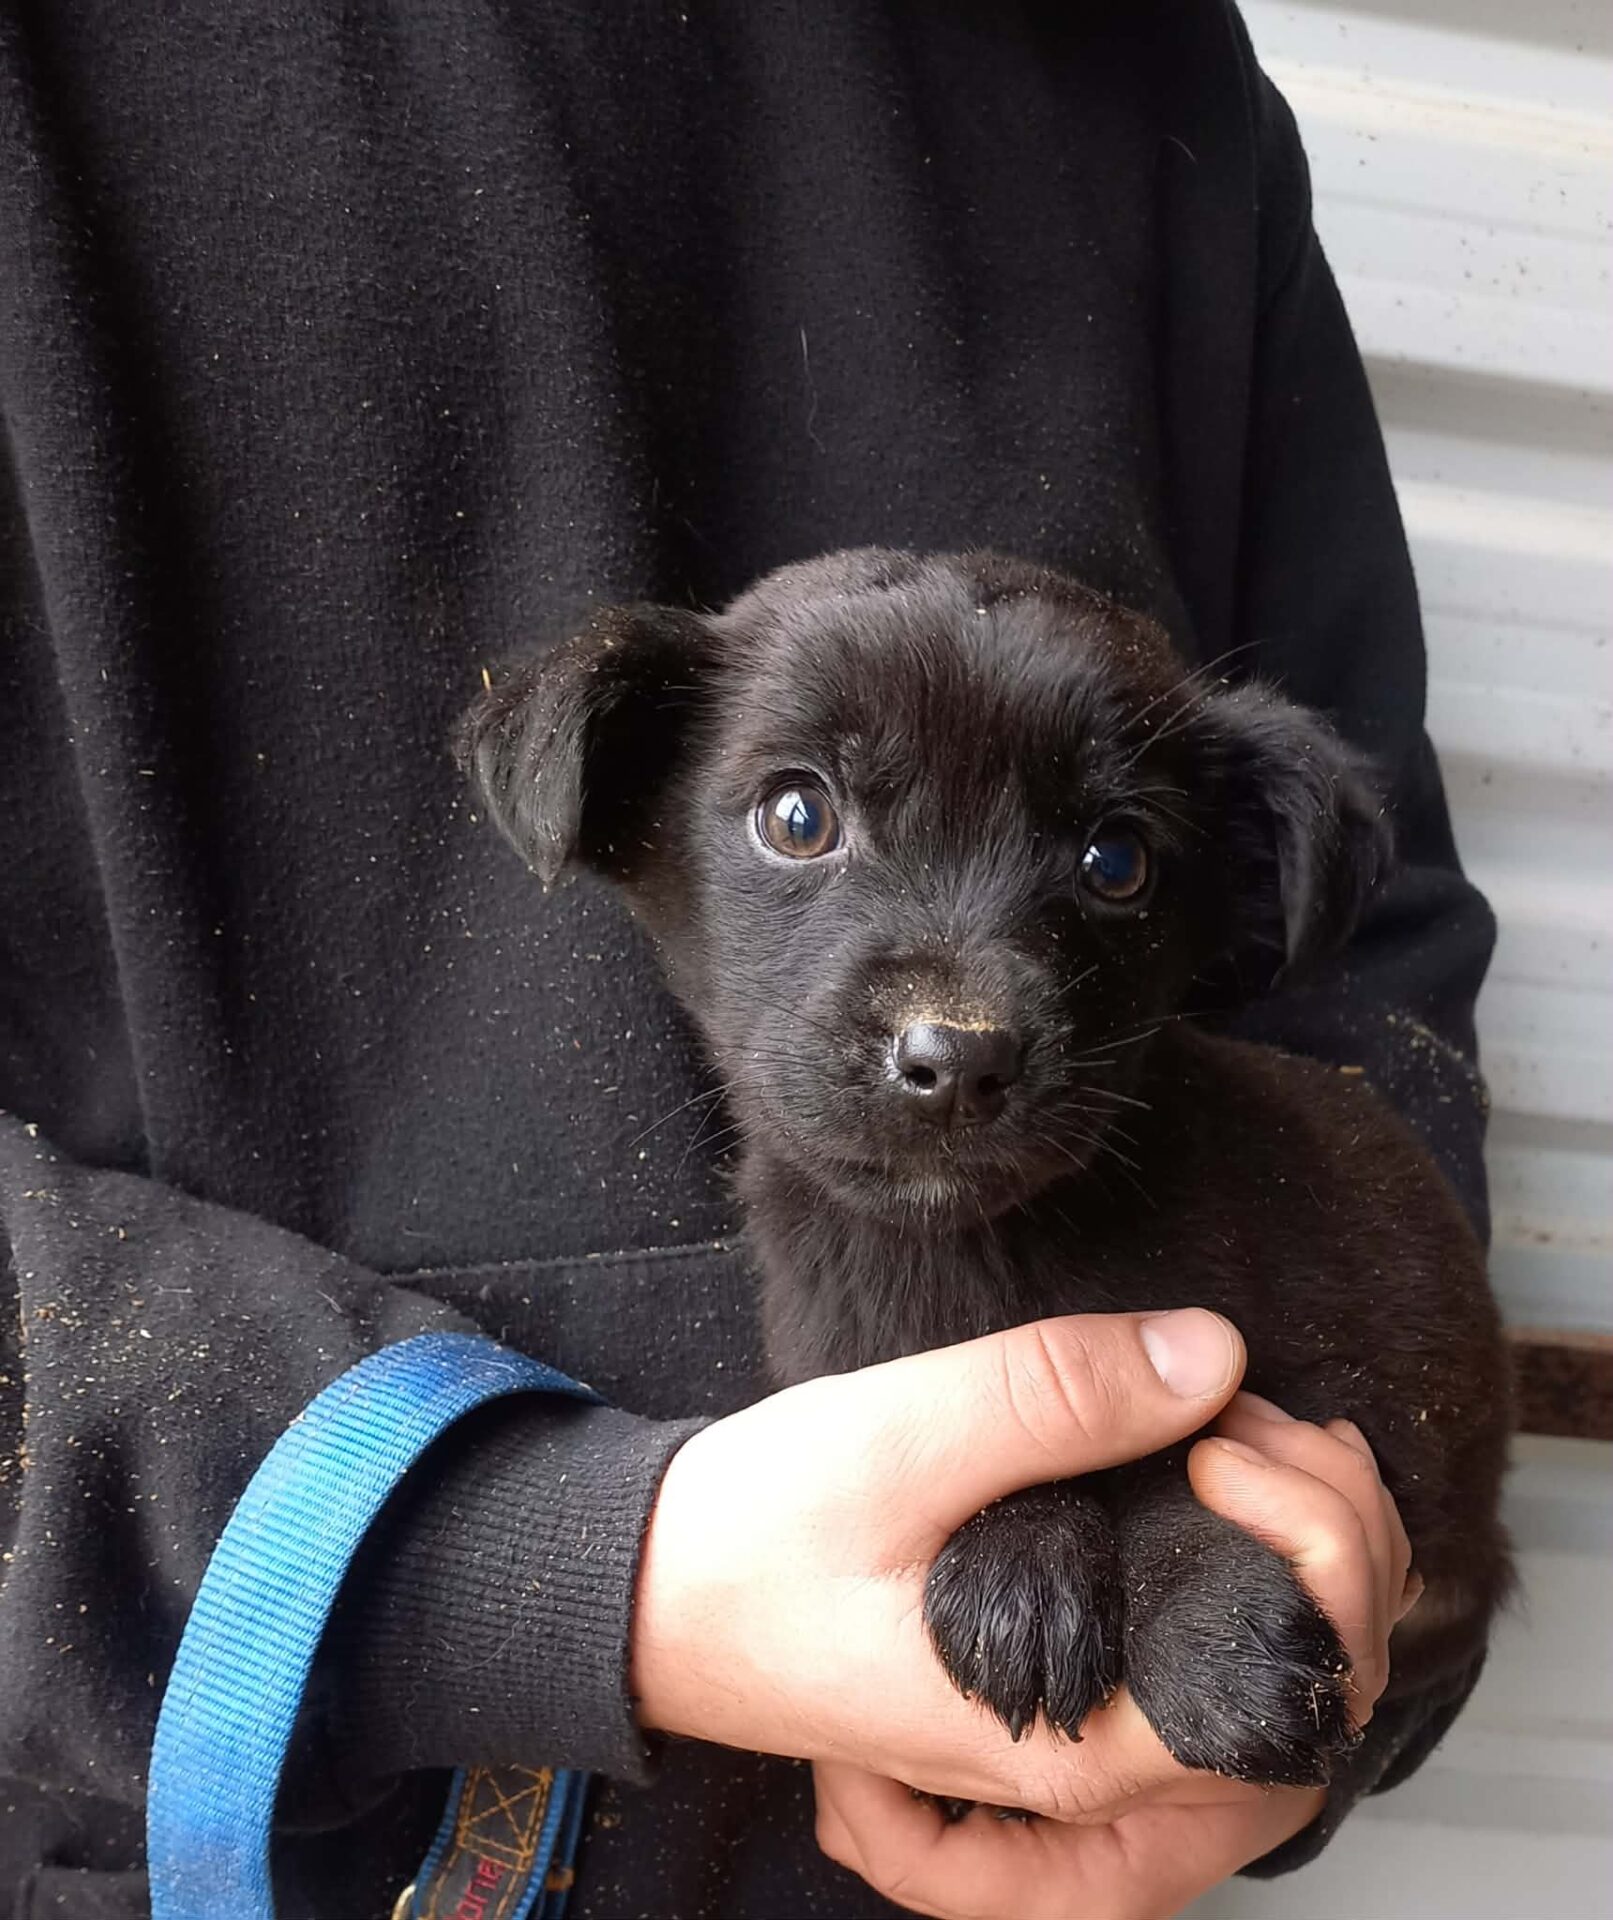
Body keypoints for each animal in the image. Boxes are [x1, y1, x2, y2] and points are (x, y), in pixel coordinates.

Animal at [458, 547, 1511, 1791]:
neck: (956, 1252)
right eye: (797, 816)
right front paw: (1019, 1555)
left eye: (1116, 861)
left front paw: (1210, 1625)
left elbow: (1187, 1443)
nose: (956, 1059)